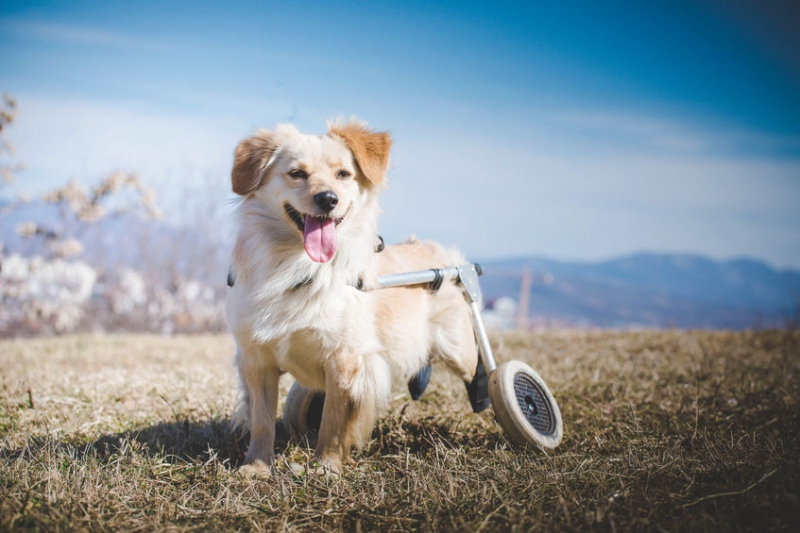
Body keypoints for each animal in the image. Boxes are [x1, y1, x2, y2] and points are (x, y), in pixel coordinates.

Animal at [227, 118, 482, 472]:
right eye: (297, 173)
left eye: (343, 174)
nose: (328, 199)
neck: (297, 266)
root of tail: (438, 252)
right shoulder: (256, 360)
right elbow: (262, 419)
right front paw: (257, 467)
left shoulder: (346, 361)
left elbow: (334, 422)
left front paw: (325, 467)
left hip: (459, 349)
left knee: (479, 369)